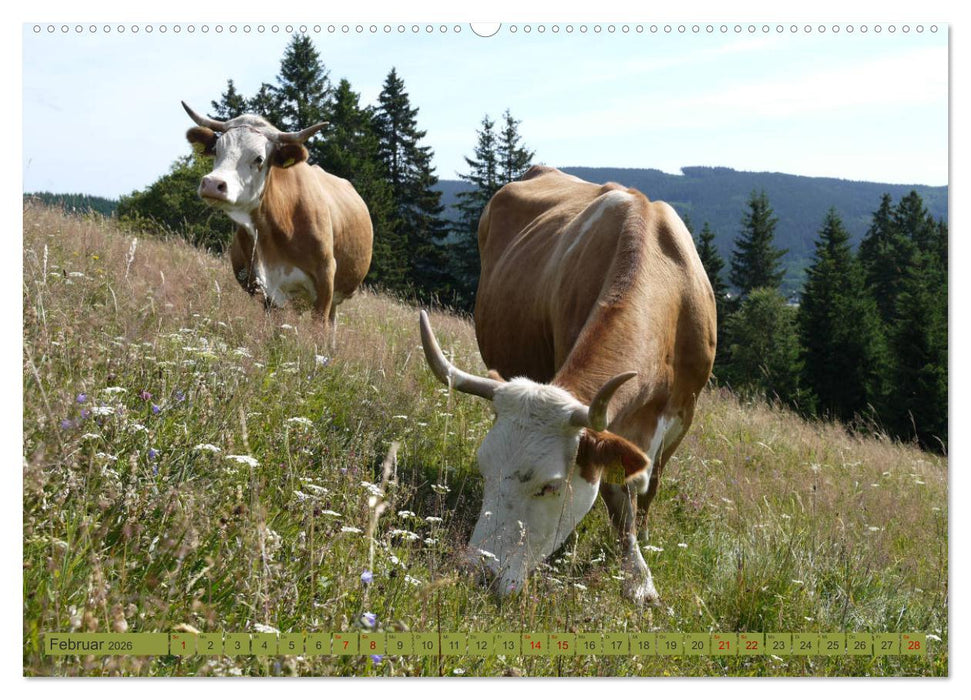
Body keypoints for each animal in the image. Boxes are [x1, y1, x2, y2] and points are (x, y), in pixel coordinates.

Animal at [419, 165, 716, 605]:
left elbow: (647, 490)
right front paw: (636, 572)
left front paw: (641, 561)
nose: (475, 572)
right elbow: (619, 496)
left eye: (550, 486)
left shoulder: (683, 413)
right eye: (484, 471)